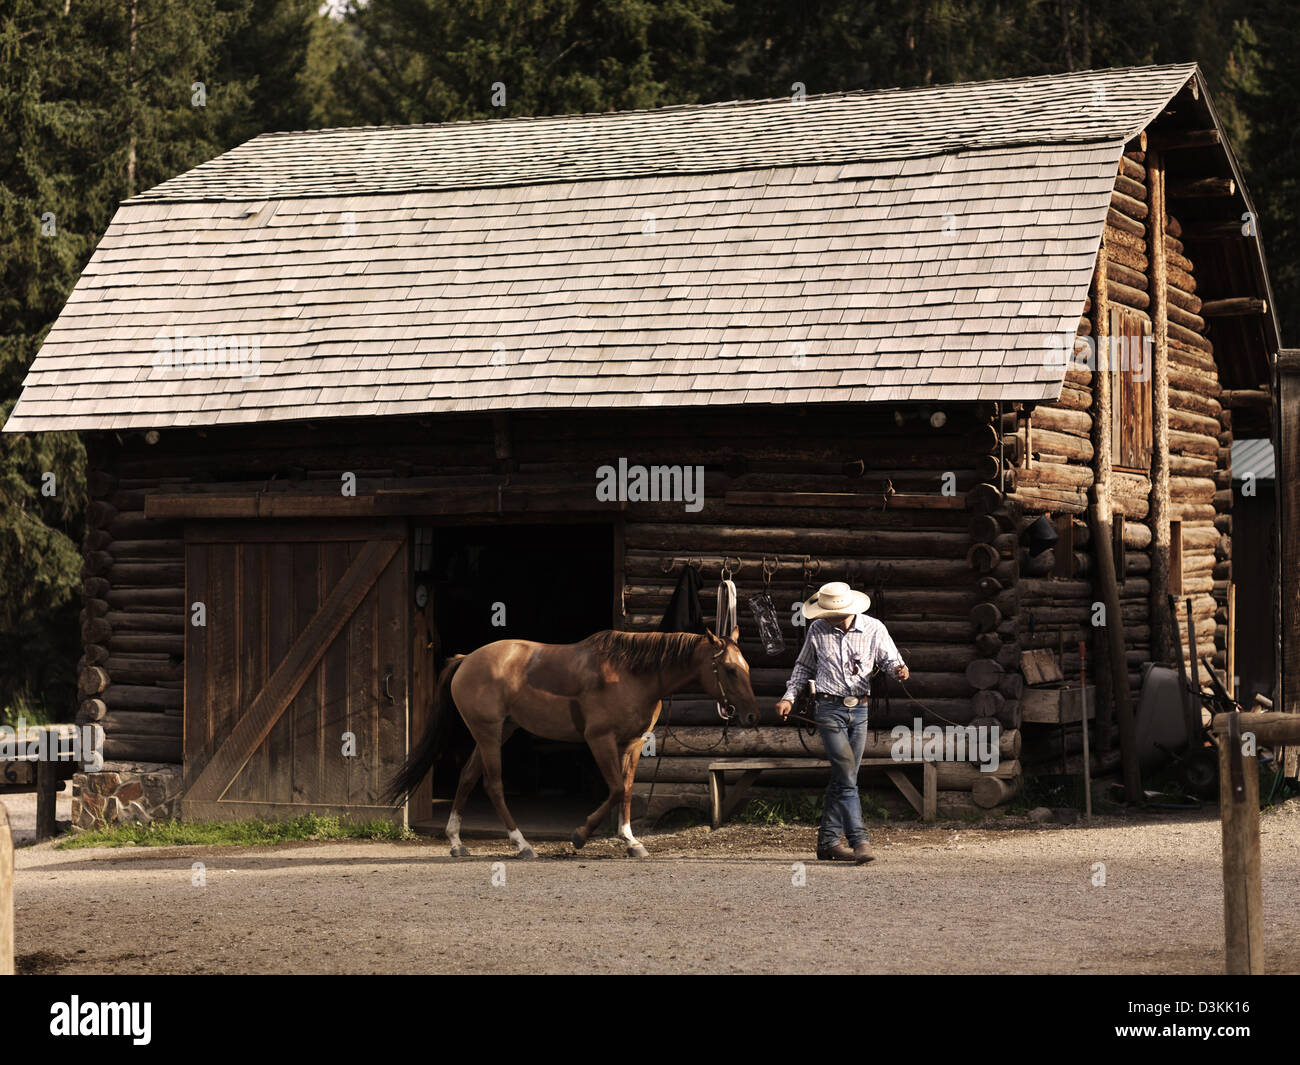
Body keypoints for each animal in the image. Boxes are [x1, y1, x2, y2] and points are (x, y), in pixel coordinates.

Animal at [385, 627, 759, 858]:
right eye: (729, 670)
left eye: (746, 666)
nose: (751, 716)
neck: (632, 673)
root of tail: (466, 660)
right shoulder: (599, 740)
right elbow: (615, 790)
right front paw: (580, 834)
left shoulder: (633, 743)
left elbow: (626, 790)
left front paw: (630, 841)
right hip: (489, 733)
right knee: (492, 784)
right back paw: (521, 845)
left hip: (498, 731)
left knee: (466, 778)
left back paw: (456, 842)